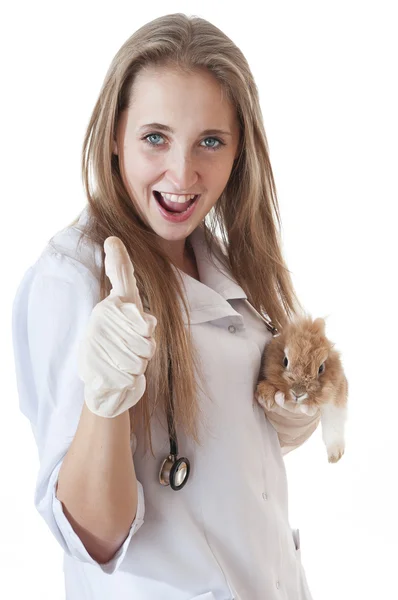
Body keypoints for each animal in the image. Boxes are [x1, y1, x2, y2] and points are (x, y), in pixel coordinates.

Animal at [256, 316, 346, 462]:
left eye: (321, 368)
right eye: (285, 361)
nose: (298, 393)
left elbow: (334, 423)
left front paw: (335, 455)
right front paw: (266, 398)